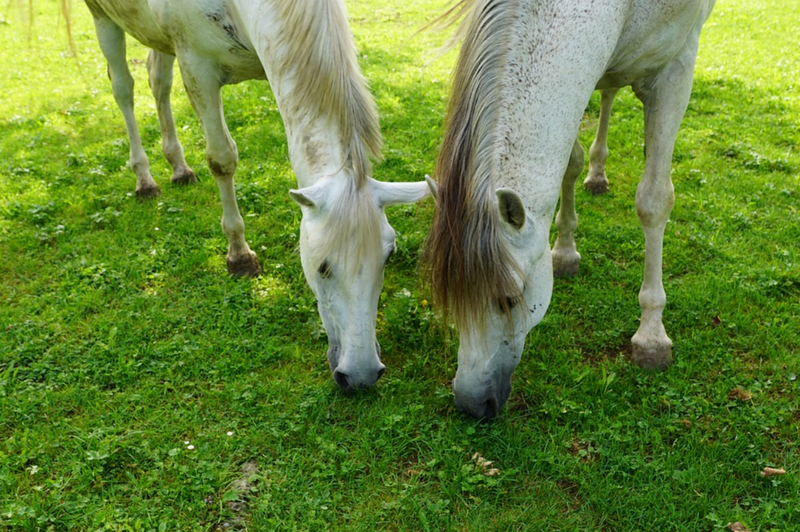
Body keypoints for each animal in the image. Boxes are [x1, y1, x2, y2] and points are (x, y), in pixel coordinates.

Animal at [83, 0, 430, 389]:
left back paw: (179, 167)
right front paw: (239, 255)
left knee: (158, 81)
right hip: (103, 19)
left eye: (387, 258)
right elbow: (222, 159)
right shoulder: (197, 69)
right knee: (123, 88)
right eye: (322, 267)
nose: (361, 375)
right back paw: (144, 178)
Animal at [424, 0, 716, 418]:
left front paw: (652, 336)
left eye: (509, 299)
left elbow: (654, 202)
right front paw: (563, 252)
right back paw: (596, 174)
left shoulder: (676, 68)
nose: (471, 403)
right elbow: (570, 164)